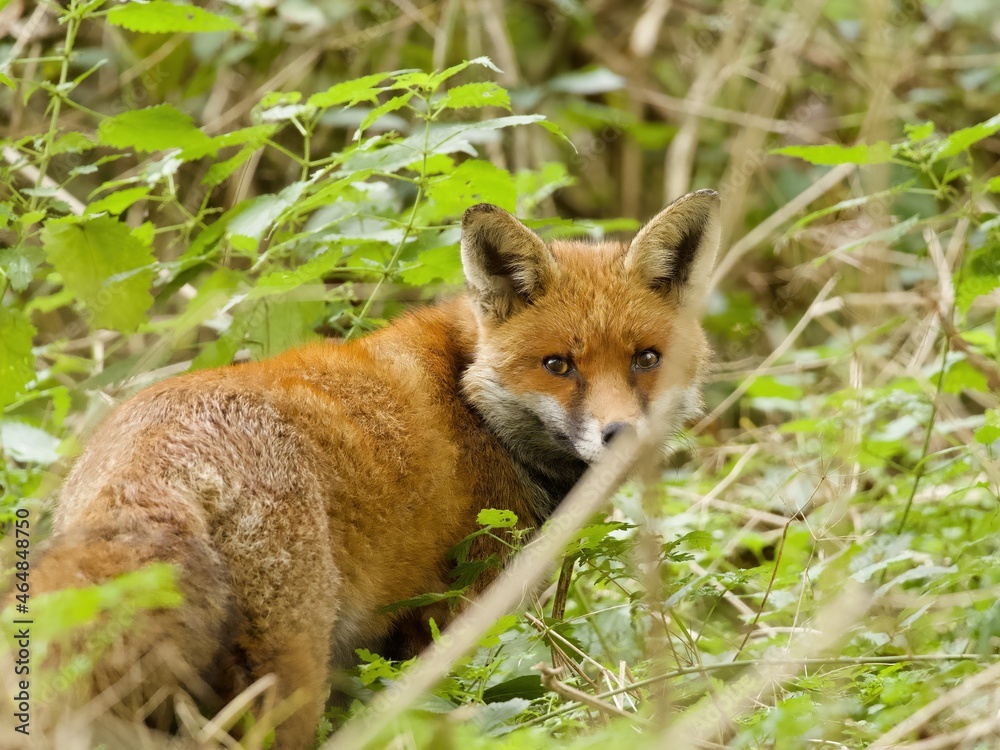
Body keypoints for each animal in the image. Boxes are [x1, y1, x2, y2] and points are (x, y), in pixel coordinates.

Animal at [4, 188, 720, 748]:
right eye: (558, 365)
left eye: (647, 359)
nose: (621, 435)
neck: (474, 405)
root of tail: (150, 459)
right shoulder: (449, 613)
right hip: (291, 672)